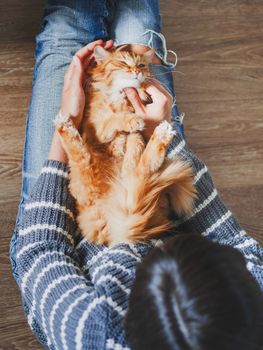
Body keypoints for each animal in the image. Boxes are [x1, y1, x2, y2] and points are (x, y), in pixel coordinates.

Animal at [54, 45, 197, 245]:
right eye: (123, 63)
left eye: (142, 65)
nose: (136, 71)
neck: (121, 97)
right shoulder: (97, 130)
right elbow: (114, 120)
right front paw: (131, 119)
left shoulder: (136, 135)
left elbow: (135, 141)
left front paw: (129, 160)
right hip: (84, 170)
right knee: (80, 152)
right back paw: (64, 125)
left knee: (141, 171)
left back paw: (159, 137)